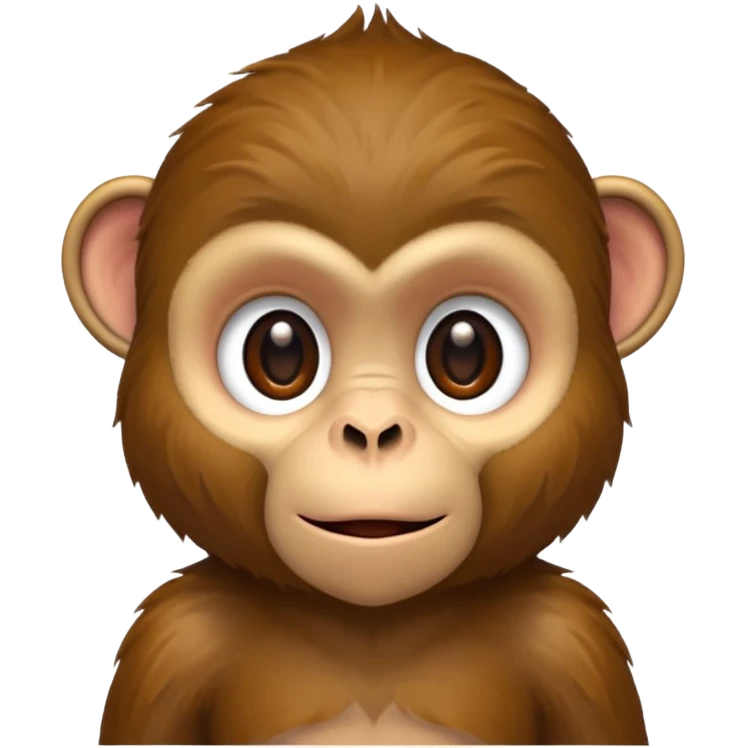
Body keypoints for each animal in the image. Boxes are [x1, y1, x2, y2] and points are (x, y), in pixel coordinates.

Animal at [62, 5, 685, 746]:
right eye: (279, 352)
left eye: (464, 352)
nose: (371, 429)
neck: (373, 633)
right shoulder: (175, 640)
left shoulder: (570, 641)